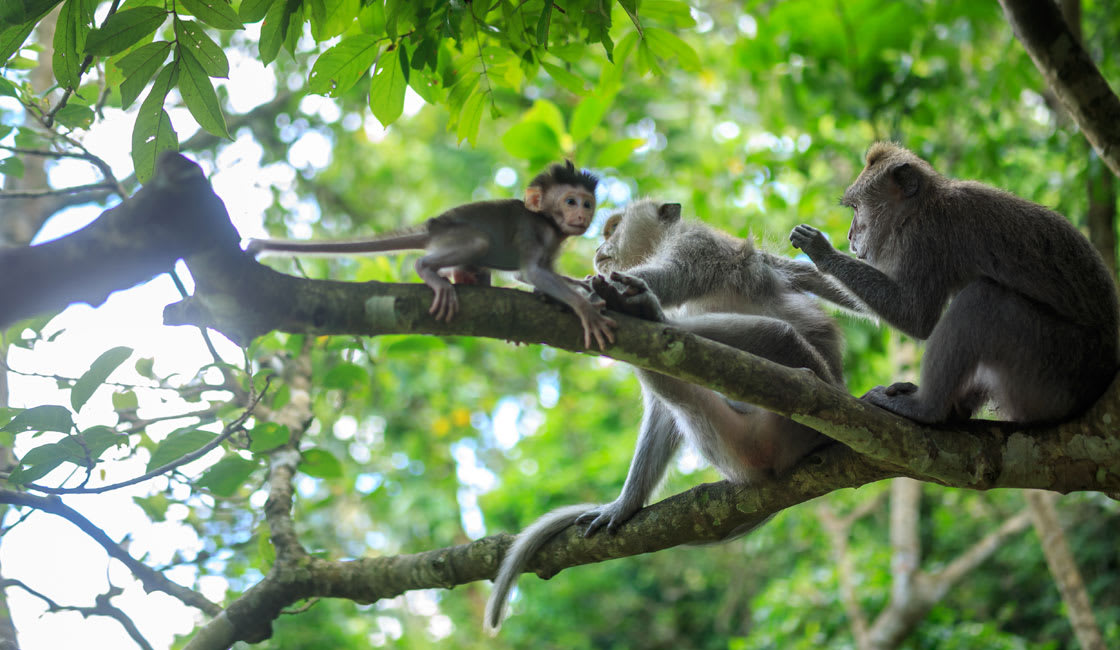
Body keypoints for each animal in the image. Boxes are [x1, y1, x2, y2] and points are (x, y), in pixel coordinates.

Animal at [245, 160, 618, 349]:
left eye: (587, 203)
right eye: (570, 201)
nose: (582, 215)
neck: (549, 223)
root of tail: (432, 229)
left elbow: (547, 273)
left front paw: (585, 285)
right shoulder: (532, 230)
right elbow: (530, 273)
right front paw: (586, 309)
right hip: (457, 235)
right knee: (476, 243)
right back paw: (429, 272)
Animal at [483, 200, 855, 632]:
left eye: (612, 227)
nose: (600, 246)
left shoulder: (696, 247)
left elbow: (670, 276)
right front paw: (625, 504)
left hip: (812, 392)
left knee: (776, 335)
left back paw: (652, 313)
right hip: (732, 441)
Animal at [788, 142, 1120, 423]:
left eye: (857, 209)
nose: (849, 235)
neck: (921, 206)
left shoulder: (926, 238)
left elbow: (915, 316)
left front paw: (821, 251)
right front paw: (791, 269)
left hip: (1055, 367)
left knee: (983, 301)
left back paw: (927, 409)